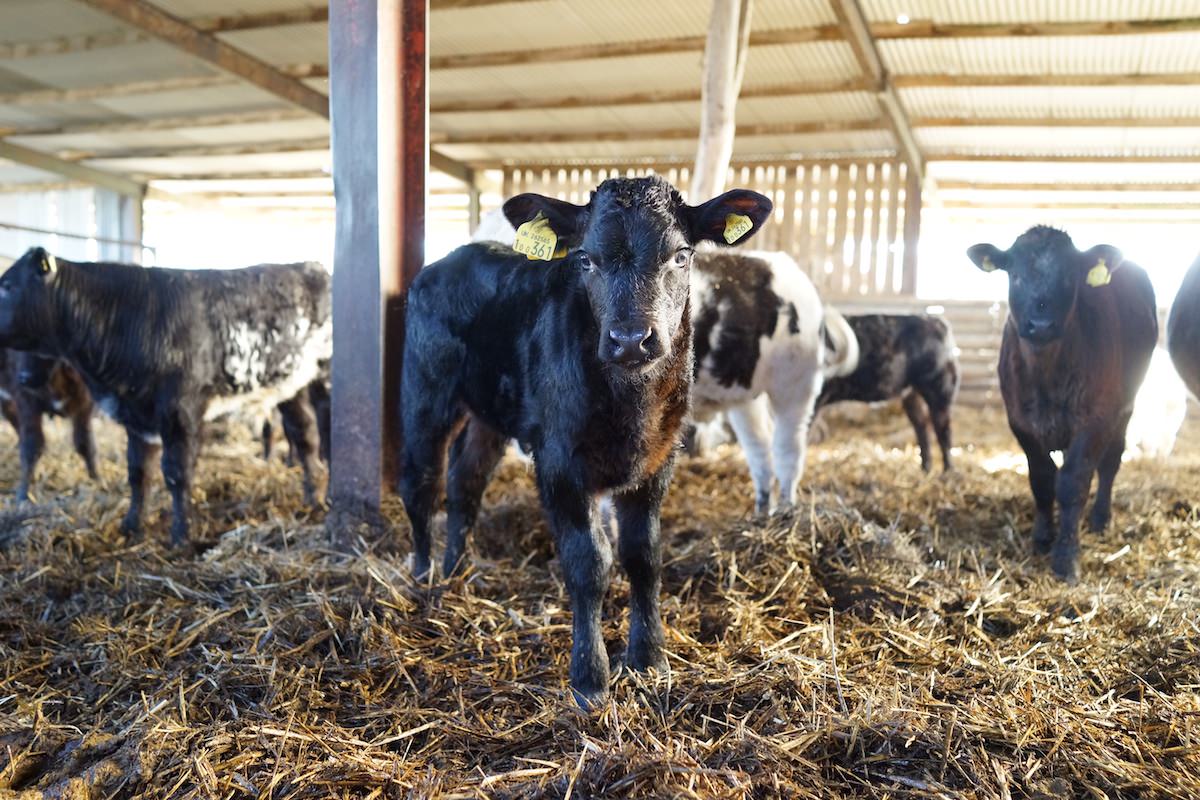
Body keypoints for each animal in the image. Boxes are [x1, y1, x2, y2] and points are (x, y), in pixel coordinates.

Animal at [0, 350, 94, 501]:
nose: (23, 378)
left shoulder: (84, 404)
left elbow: (84, 444)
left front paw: (97, 480)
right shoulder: (27, 405)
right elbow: (31, 446)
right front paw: (22, 495)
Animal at [691, 247, 859, 515]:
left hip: (795, 384)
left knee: (787, 451)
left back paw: (785, 511)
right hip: (745, 394)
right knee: (760, 449)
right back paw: (762, 513)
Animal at [969, 227, 1156, 585]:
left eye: (1071, 277)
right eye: (1015, 275)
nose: (1041, 324)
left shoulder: (1095, 420)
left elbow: (1072, 484)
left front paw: (1066, 557)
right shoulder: (1020, 422)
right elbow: (1042, 478)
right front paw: (1043, 538)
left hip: (1126, 405)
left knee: (1110, 463)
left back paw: (1100, 518)